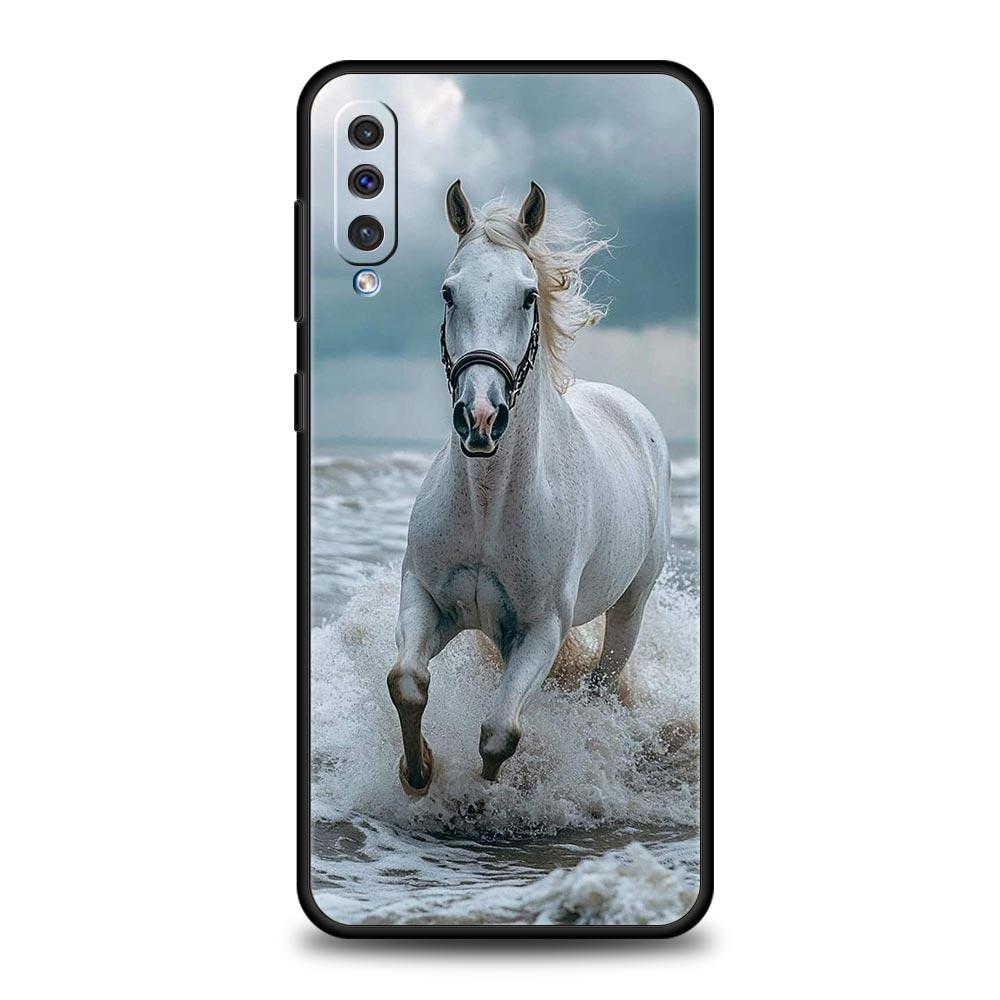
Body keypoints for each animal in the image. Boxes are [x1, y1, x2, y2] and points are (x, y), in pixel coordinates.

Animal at [387, 180, 671, 795]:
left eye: (526, 296)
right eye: (448, 292)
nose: (480, 419)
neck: (489, 507)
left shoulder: (540, 630)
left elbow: (500, 733)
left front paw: (482, 794)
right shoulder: (430, 598)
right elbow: (408, 680)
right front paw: (418, 771)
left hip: (630, 607)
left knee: (600, 684)